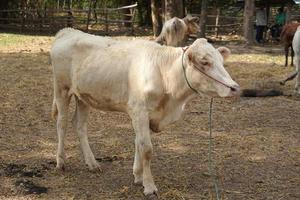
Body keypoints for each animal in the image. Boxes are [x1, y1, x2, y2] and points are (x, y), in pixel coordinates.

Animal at [51, 27, 239, 195]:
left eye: (222, 62)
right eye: (205, 62)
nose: (234, 88)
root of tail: (67, 31)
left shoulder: (145, 114)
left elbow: (138, 143)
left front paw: (138, 176)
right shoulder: (139, 110)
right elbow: (146, 149)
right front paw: (149, 186)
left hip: (83, 96)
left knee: (80, 125)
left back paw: (92, 163)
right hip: (61, 90)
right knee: (61, 123)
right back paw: (61, 162)